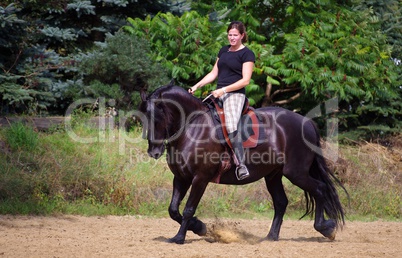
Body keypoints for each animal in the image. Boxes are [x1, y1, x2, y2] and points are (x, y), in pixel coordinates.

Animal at [138, 82, 346, 244]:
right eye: (143, 119)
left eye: (157, 117)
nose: (153, 152)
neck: (192, 127)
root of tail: (307, 123)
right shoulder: (181, 178)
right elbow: (173, 210)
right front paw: (199, 227)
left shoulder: (200, 178)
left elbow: (188, 209)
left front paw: (180, 237)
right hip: (273, 175)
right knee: (281, 202)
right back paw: (271, 237)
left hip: (297, 173)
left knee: (319, 189)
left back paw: (326, 228)